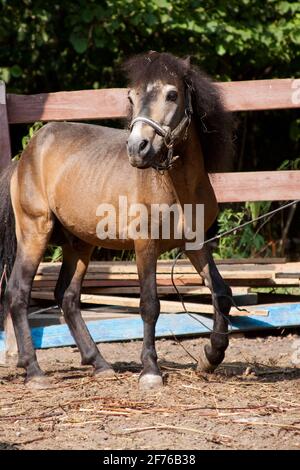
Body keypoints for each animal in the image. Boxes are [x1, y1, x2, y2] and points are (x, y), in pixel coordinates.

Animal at [0, 50, 234, 390]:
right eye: (131, 97)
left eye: (172, 94)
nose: (138, 148)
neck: (177, 186)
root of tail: (25, 156)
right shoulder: (145, 245)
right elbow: (149, 304)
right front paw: (150, 370)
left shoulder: (196, 244)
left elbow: (221, 293)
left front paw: (210, 357)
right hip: (35, 233)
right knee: (18, 292)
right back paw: (34, 371)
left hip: (79, 244)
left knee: (67, 298)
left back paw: (99, 364)